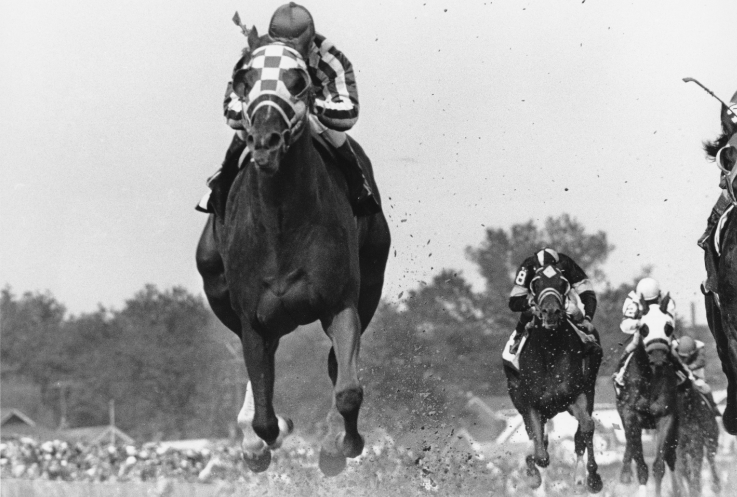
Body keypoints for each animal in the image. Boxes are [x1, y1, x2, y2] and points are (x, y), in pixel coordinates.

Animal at [196, 28, 392, 476]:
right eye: (245, 80)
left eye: (299, 81)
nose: (265, 141)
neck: (282, 222)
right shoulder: (252, 317)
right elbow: (265, 416)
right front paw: (264, 438)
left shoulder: (341, 302)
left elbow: (348, 389)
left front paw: (338, 447)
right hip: (215, 279)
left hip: (371, 280)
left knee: (337, 366)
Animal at [504, 264, 600, 492]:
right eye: (535, 283)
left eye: (562, 283)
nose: (551, 312)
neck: (549, 351)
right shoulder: (532, 405)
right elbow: (541, 454)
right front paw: (533, 474)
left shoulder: (575, 396)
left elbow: (587, 427)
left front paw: (593, 477)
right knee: (538, 440)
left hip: (588, 391)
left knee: (580, 433)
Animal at [616, 294, 680, 496]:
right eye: (643, 328)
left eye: (668, 327)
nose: (658, 358)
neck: (650, 381)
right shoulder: (631, 416)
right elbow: (641, 465)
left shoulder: (666, 416)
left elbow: (659, 465)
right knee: (630, 444)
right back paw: (625, 474)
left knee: (671, 457)